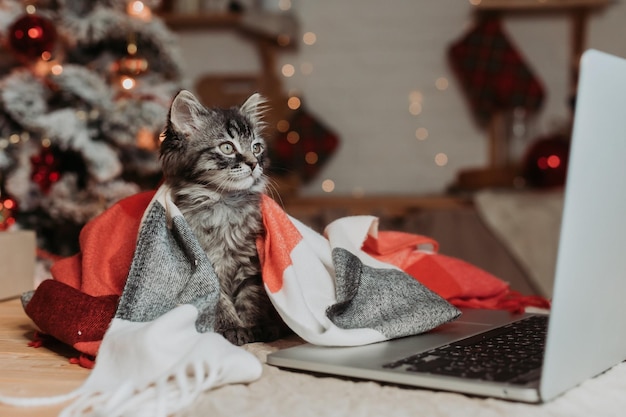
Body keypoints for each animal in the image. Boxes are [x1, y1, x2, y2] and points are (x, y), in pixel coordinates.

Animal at [161, 90, 288, 344]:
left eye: (256, 148)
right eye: (227, 148)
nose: (254, 163)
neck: (225, 203)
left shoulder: (250, 263)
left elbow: (251, 298)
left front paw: (257, 327)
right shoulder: (205, 265)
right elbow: (219, 302)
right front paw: (233, 328)